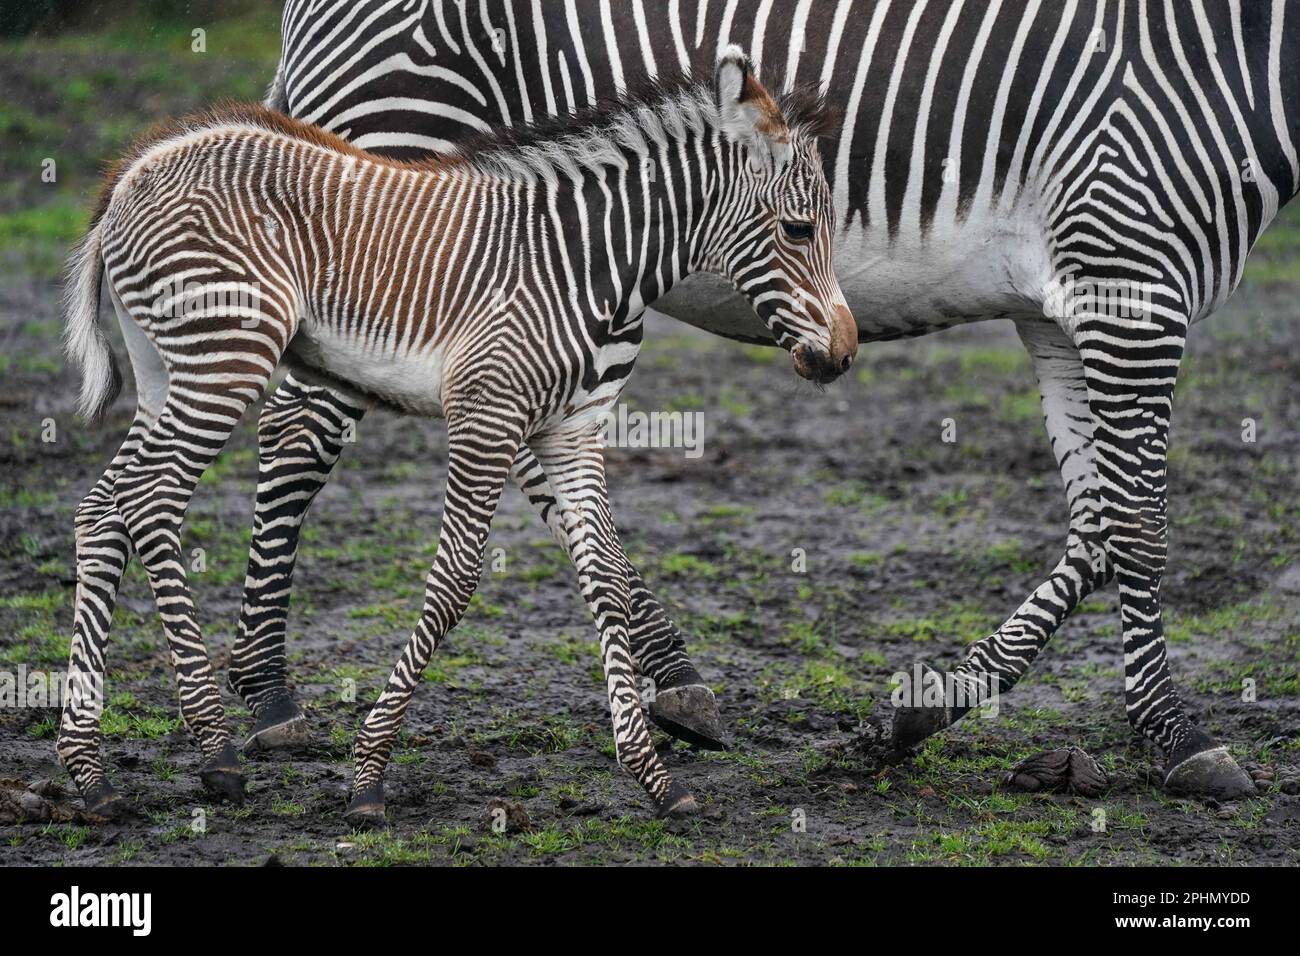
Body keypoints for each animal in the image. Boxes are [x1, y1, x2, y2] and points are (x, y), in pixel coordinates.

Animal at [61, 46, 857, 822]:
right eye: (798, 229)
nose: (845, 354)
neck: (588, 261)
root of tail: (135, 170)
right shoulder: (487, 412)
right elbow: (455, 581)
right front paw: (370, 774)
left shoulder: (571, 428)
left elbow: (603, 574)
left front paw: (654, 777)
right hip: (225, 357)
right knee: (152, 502)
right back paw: (214, 749)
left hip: (166, 369)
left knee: (104, 508)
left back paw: (91, 773)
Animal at [236, 0, 1300, 801]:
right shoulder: (1131, 270)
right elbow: (1141, 524)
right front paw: (1179, 737)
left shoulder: (1068, 302)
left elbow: (1098, 522)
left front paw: (914, 715)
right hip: (395, 161)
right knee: (300, 427)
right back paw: (268, 697)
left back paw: (670, 678)